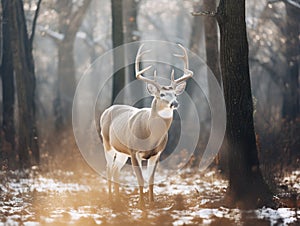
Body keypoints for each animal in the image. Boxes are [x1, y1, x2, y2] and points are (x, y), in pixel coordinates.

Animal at [99, 44, 193, 207]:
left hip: (122, 151)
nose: (175, 103)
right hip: (108, 144)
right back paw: (110, 198)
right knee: (109, 168)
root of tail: (107, 110)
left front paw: (152, 203)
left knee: (116, 169)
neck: (150, 135)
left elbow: (151, 179)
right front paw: (142, 205)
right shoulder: (134, 151)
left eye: (175, 94)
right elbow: (140, 179)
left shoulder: (157, 153)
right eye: (162, 94)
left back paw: (118, 199)